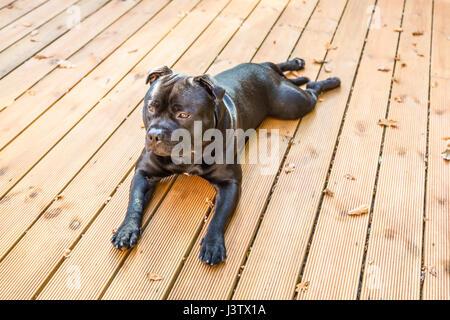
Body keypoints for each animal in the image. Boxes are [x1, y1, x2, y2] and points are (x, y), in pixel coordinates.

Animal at [110, 57, 340, 264]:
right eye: (150, 108)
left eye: (183, 114)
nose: (154, 135)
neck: (188, 154)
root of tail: (265, 72)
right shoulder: (144, 174)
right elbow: (135, 202)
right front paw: (126, 230)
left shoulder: (229, 184)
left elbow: (219, 217)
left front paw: (213, 245)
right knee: (277, 65)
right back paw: (296, 64)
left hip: (291, 104)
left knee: (311, 90)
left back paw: (330, 81)